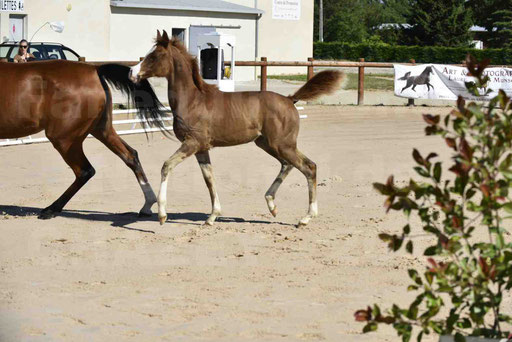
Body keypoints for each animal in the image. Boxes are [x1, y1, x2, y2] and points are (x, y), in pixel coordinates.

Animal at [0, 59, 168, 218]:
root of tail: (94, 70)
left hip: (64, 139)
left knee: (85, 171)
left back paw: (51, 209)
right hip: (102, 130)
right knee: (130, 156)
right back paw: (147, 205)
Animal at [129, 29, 344, 227]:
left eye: (155, 56)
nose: (132, 73)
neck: (193, 100)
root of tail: (290, 99)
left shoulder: (192, 143)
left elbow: (166, 166)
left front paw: (162, 215)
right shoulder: (201, 148)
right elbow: (209, 179)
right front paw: (212, 216)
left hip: (282, 144)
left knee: (309, 167)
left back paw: (306, 218)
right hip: (267, 144)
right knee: (287, 165)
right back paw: (272, 205)